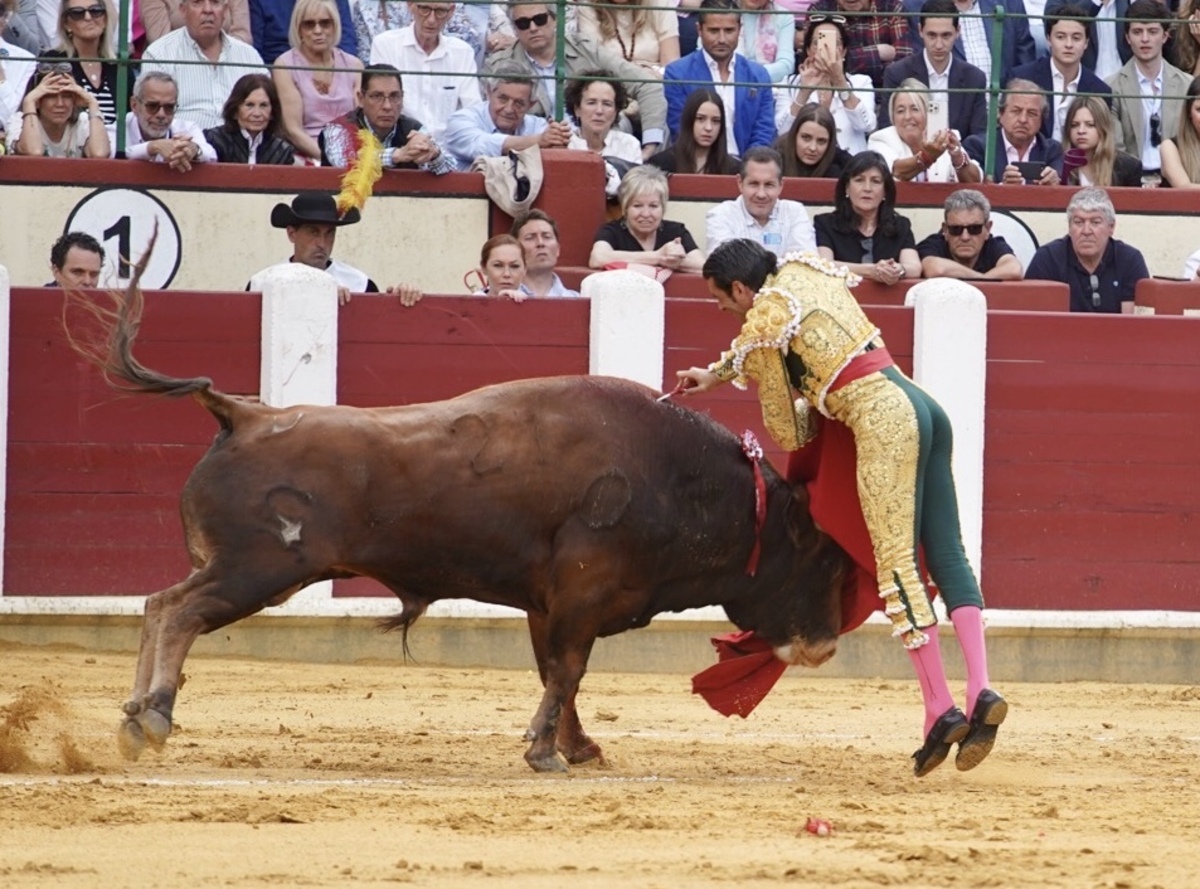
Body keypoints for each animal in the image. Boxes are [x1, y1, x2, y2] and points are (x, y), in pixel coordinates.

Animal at [70, 275, 849, 767]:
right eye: (826, 560)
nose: (826, 644)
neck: (683, 480)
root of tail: (243, 412)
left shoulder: (549, 602)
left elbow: (557, 674)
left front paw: (576, 748)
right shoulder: (583, 594)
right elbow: (568, 670)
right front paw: (545, 753)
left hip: (249, 567)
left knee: (159, 602)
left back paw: (132, 715)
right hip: (259, 566)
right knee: (179, 610)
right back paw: (155, 715)